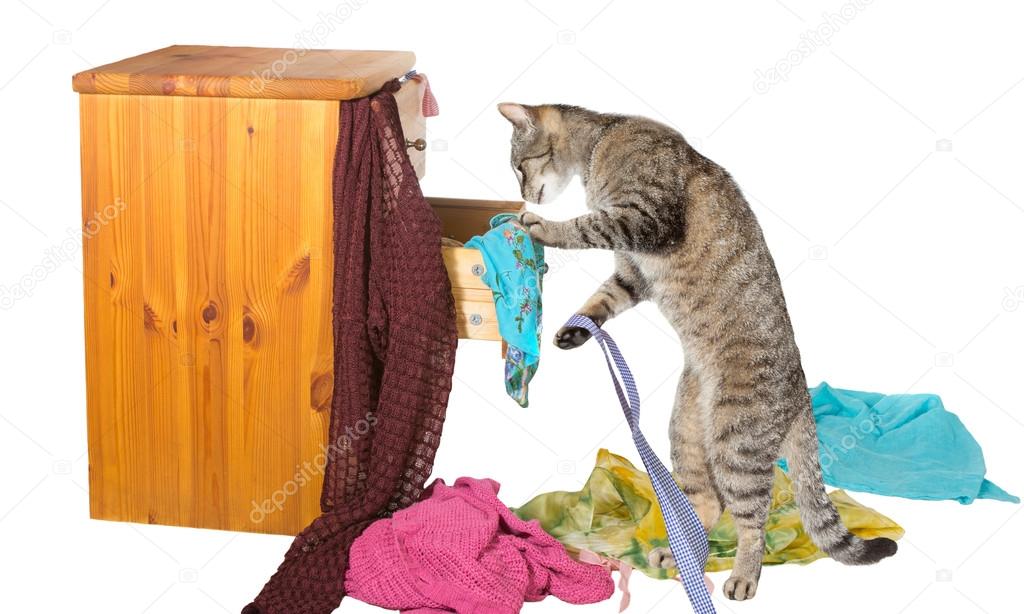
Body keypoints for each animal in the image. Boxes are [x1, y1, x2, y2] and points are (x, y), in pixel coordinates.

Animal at [495, 104, 897, 597]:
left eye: (519, 167)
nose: (523, 195)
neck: (602, 140)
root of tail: (801, 394)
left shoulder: (645, 218)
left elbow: (587, 225)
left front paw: (543, 227)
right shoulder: (633, 274)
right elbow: (605, 298)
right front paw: (575, 329)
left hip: (736, 442)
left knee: (753, 520)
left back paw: (743, 575)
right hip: (685, 435)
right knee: (709, 505)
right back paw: (680, 554)